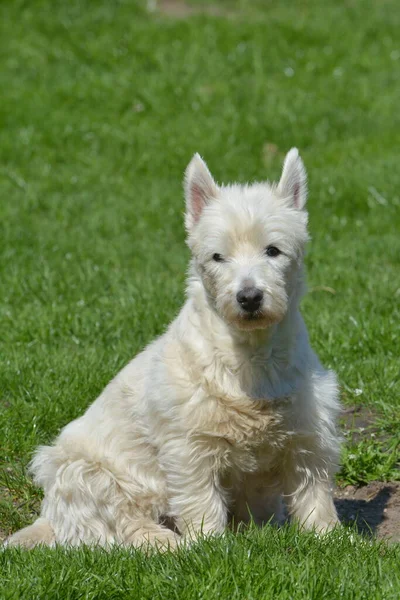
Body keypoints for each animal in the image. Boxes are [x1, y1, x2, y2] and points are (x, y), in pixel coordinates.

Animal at [6, 150, 340, 548]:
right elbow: (201, 501)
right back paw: (167, 544)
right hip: (84, 473)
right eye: (217, 257)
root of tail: (49, 516)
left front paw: (333, 540)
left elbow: (314, 494)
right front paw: (210, 546)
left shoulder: (306, 437)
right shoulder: (189, 447)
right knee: (120, 525)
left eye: (273, 250)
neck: (251, 357)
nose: (249, 297)